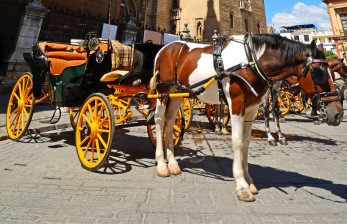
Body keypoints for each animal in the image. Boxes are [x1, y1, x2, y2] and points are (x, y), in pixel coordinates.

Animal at [150, 34, 346, 202]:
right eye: (319, 73)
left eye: (332, 72)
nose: (338, 114)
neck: (252, 61)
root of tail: (164, 48)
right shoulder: (236, 104)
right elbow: (237, 141)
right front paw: (241, 185)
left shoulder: (251, 108)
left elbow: (246, 142)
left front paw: (249, 180)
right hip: (162, 91)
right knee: (159, 121)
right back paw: (161, 164)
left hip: (177, 93)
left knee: (170, 123)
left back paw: (173, 163)